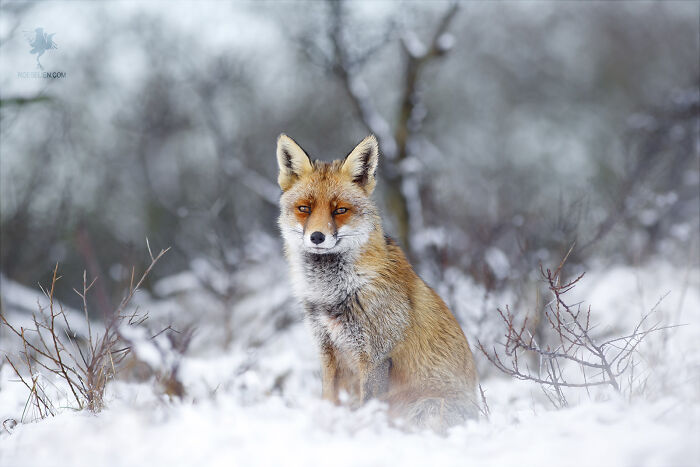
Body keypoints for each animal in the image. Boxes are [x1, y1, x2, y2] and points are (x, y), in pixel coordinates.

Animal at [276, 133, 479, 432]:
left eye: (340, 210)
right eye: (304, 208)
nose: (317, 237)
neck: (336, 293)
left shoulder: (375, 357)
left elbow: (367, 409)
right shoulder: (328, 352)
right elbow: (329, 402)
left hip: (426, 407)